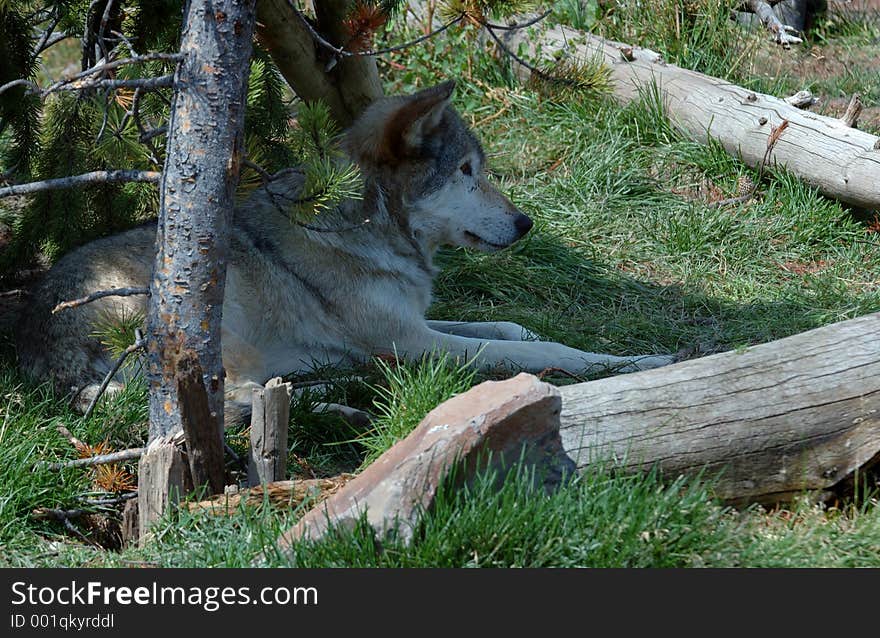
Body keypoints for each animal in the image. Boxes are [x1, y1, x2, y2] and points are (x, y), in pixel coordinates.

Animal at [17, 80, 672, 422]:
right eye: (466, 172)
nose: (525, 222)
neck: (373, 226)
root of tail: (40, 353)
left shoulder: (414, 323)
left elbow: (510, 328)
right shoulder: (411, 337)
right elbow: (542, 352)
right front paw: (635, 362)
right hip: (213, 331)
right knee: (241, 400)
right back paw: (350, 396)